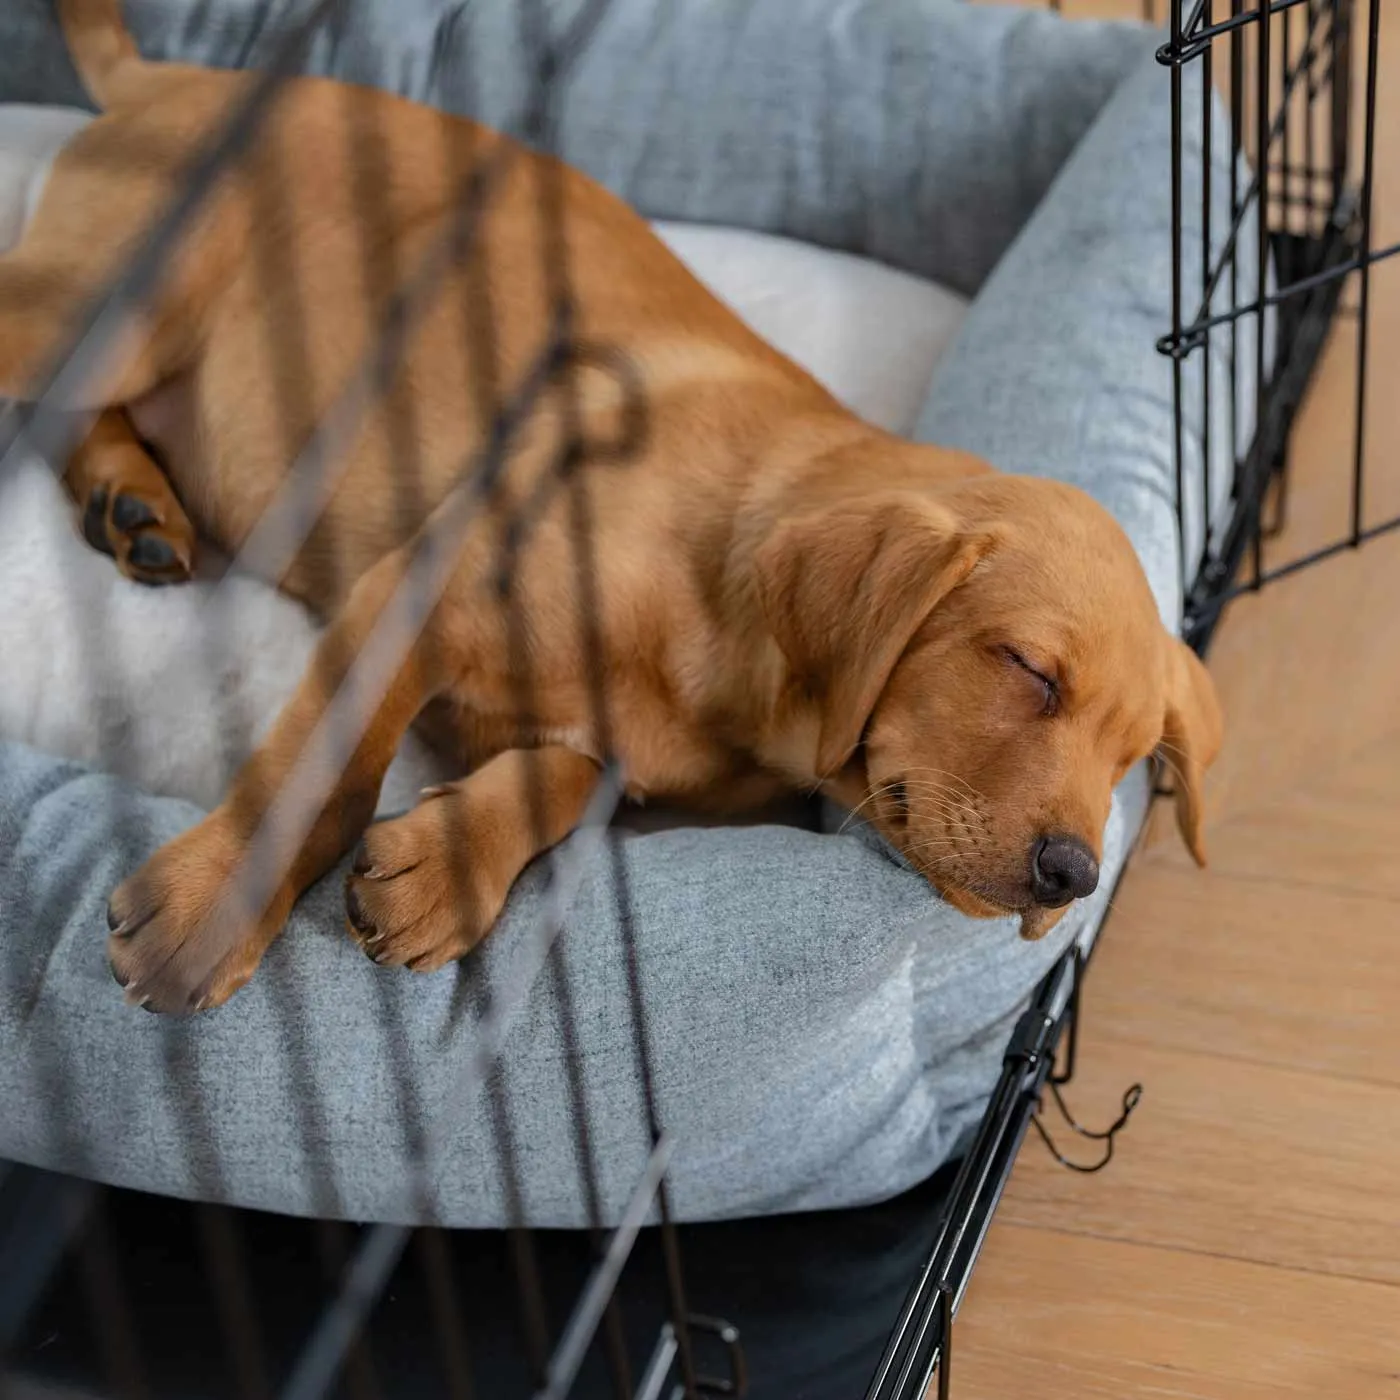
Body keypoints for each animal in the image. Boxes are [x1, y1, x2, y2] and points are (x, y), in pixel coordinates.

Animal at [0, 0, 1220, 1013]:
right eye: (1027, 670)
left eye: (1132, 760)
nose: (1072, 874)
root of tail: (170, 79)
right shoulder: (417, 591)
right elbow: (326, 771)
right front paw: (213, 912)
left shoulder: (615, 754)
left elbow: (574, 771)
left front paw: (448, 865)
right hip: (97, 305)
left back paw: (131, 504)